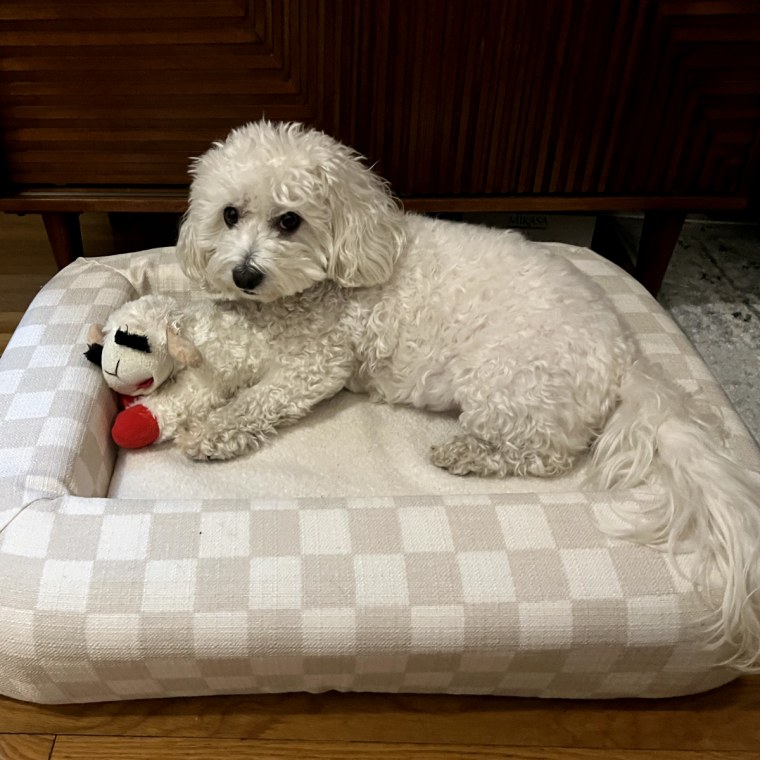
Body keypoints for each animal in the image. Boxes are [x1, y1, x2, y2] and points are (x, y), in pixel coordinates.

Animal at [175, 120, 760, 672]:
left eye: (290, 221)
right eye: (229, 214)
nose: (244, 274)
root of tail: (626, 358)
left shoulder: (316, 362)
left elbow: (258, 399)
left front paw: (209, 430)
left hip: (504, 380)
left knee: (542, 453)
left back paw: (465, 453)